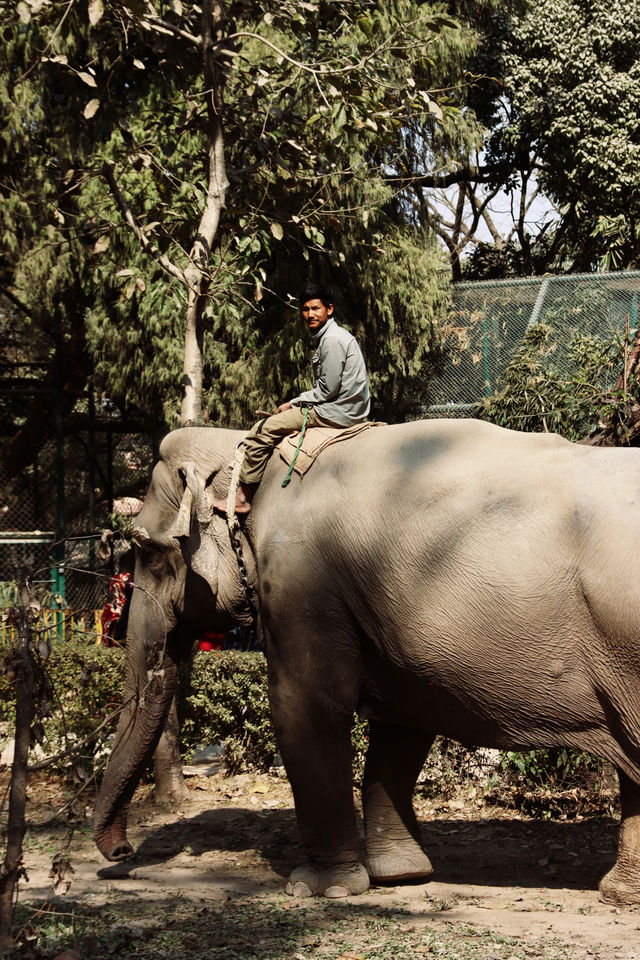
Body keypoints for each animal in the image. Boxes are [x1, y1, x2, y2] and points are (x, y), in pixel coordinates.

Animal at [92, 420, 640, 908]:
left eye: (144, 550)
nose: (122, 852)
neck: (241, 449)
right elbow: (404, 723)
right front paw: (401, 875)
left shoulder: (300, 584)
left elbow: (307, 709)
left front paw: (321, 888)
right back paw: (618, 896)